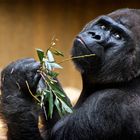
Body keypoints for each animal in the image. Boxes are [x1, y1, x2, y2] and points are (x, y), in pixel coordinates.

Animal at [0, 8, 140, 139]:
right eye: (103, 26)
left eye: (117, 36)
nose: (95, 35)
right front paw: (46, 83)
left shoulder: (107, 105)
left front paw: (15, 81)